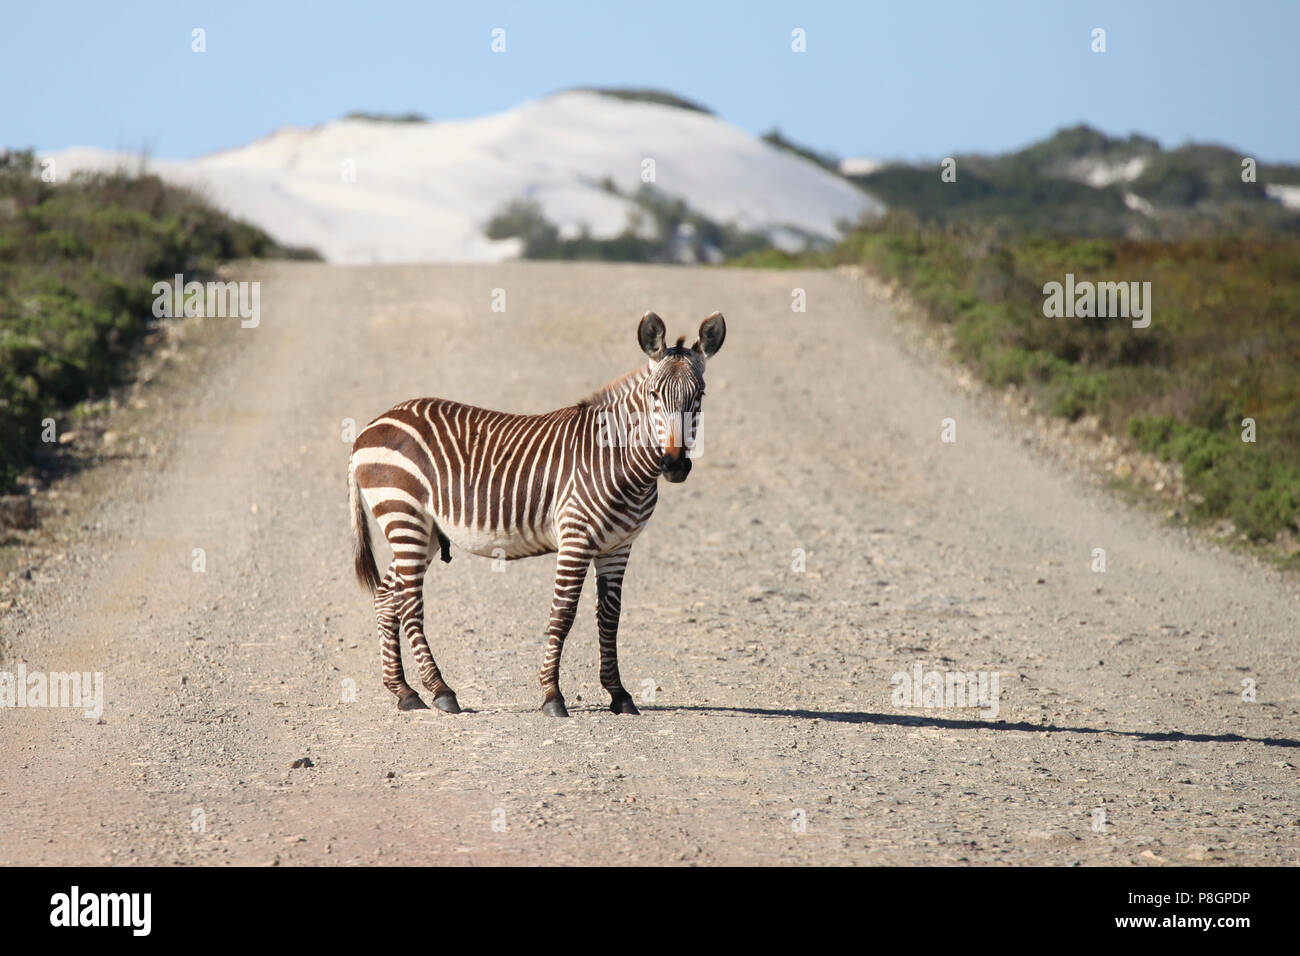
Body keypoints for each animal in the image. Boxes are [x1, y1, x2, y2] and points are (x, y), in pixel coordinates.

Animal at [351, 312, 728, 717]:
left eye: (699, 396)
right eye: (654, 395)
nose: (674, 466)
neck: (617, 459)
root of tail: (372, 425)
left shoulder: (618, 547)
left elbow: (610, 617)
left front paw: (619, 694)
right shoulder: (576, 538)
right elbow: (562, 615)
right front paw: (552, 695)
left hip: (424, 532)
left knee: (386, 596)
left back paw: (404, 691)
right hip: (404, 515)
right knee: (408, 603)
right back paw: (440, 690)